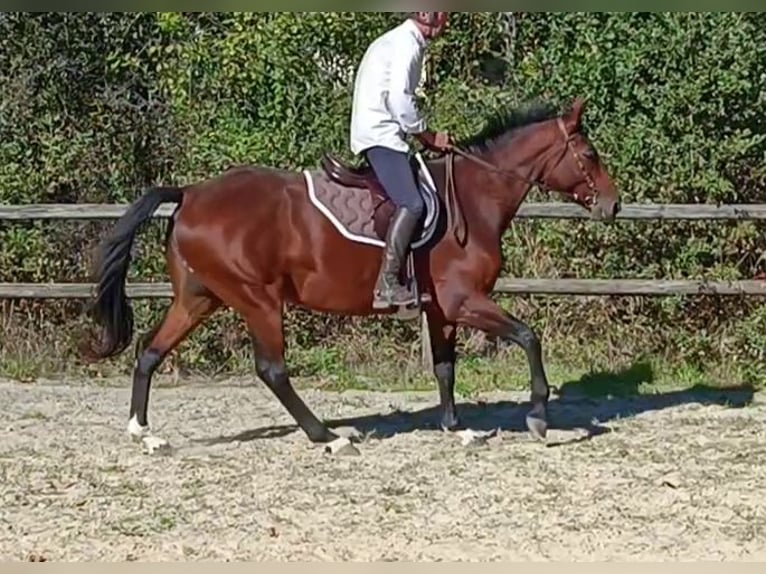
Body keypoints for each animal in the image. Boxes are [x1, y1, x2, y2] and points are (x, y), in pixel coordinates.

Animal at [82, 97, 624, 452]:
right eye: (590, 155)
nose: (613, 205)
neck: (472, 199)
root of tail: (192, 193)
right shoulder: (466, 301)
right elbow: (529, 337)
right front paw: (537, 417)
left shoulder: (442, 310)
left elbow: (445, 366)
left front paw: (457, 428)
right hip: (258, 299)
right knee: (272, 370)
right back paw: (327, 436)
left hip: (199, 297)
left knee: (150, 351)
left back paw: (145, 433)